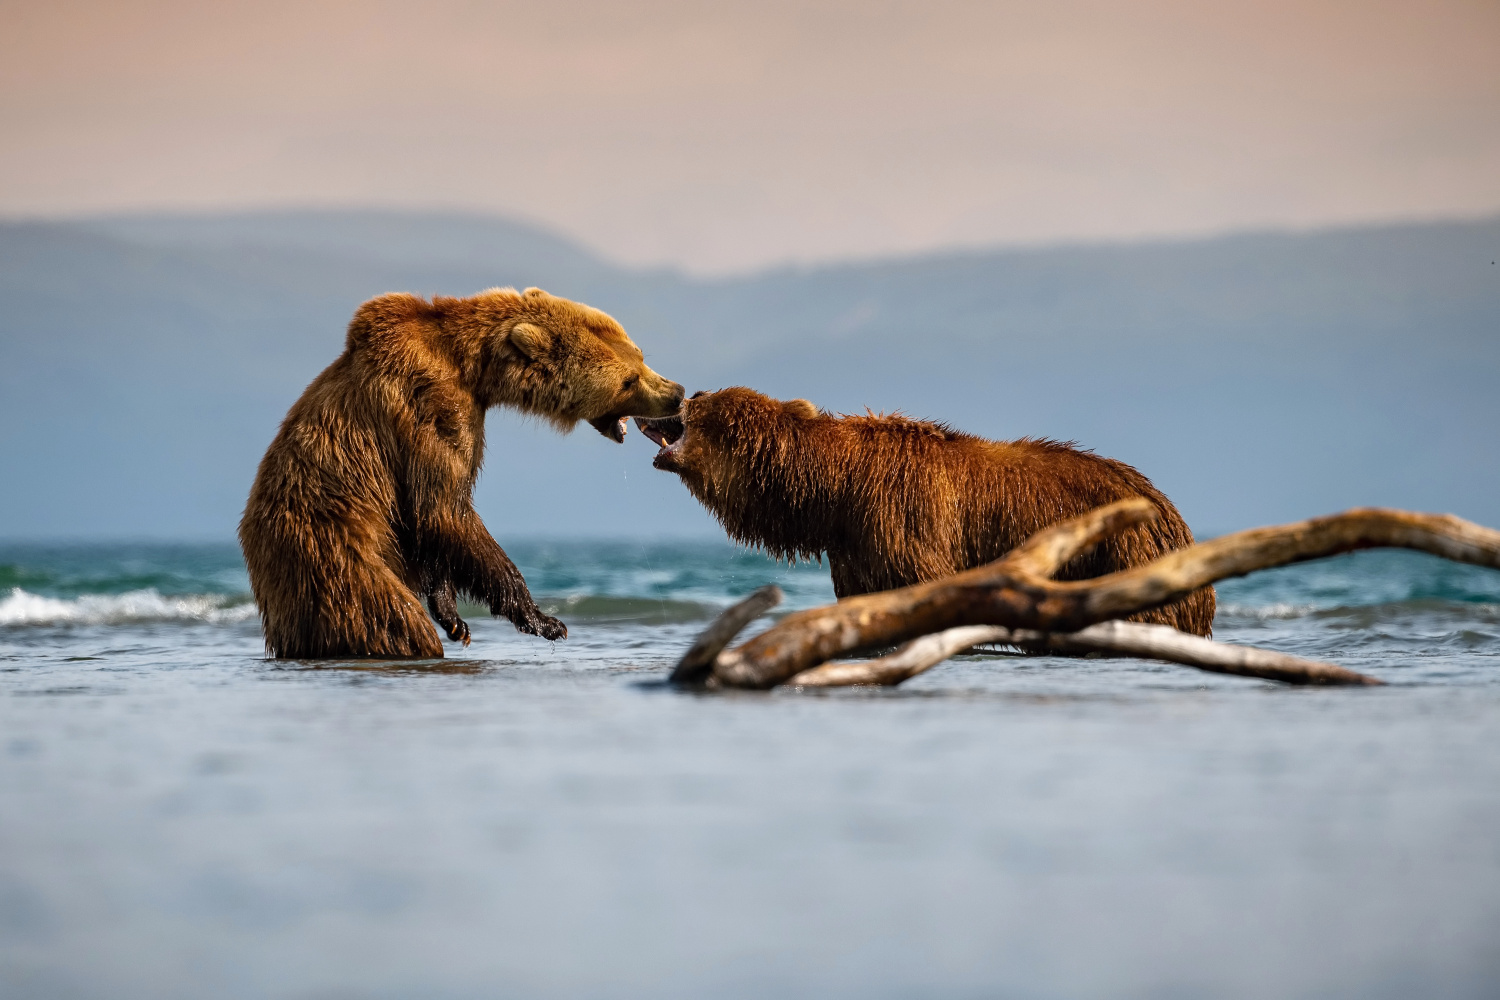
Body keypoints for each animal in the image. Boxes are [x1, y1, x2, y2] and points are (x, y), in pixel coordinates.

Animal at [241, 284, 687, 659]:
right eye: (628, 380)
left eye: (640, 355)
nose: (677, 393)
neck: (473, 367)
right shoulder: (432, 405)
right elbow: (443, 508)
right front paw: (545, 620)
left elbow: (435, 522)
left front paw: (455, 618)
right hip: (337, 561)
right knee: (390, 619)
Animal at [639, 386, 1212, 638]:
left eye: (705, 401)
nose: (689, 391)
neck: (833, 493)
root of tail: (1173, 516)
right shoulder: (856, 548)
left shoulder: (903, 518)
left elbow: (924, 583)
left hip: (1124, 554)